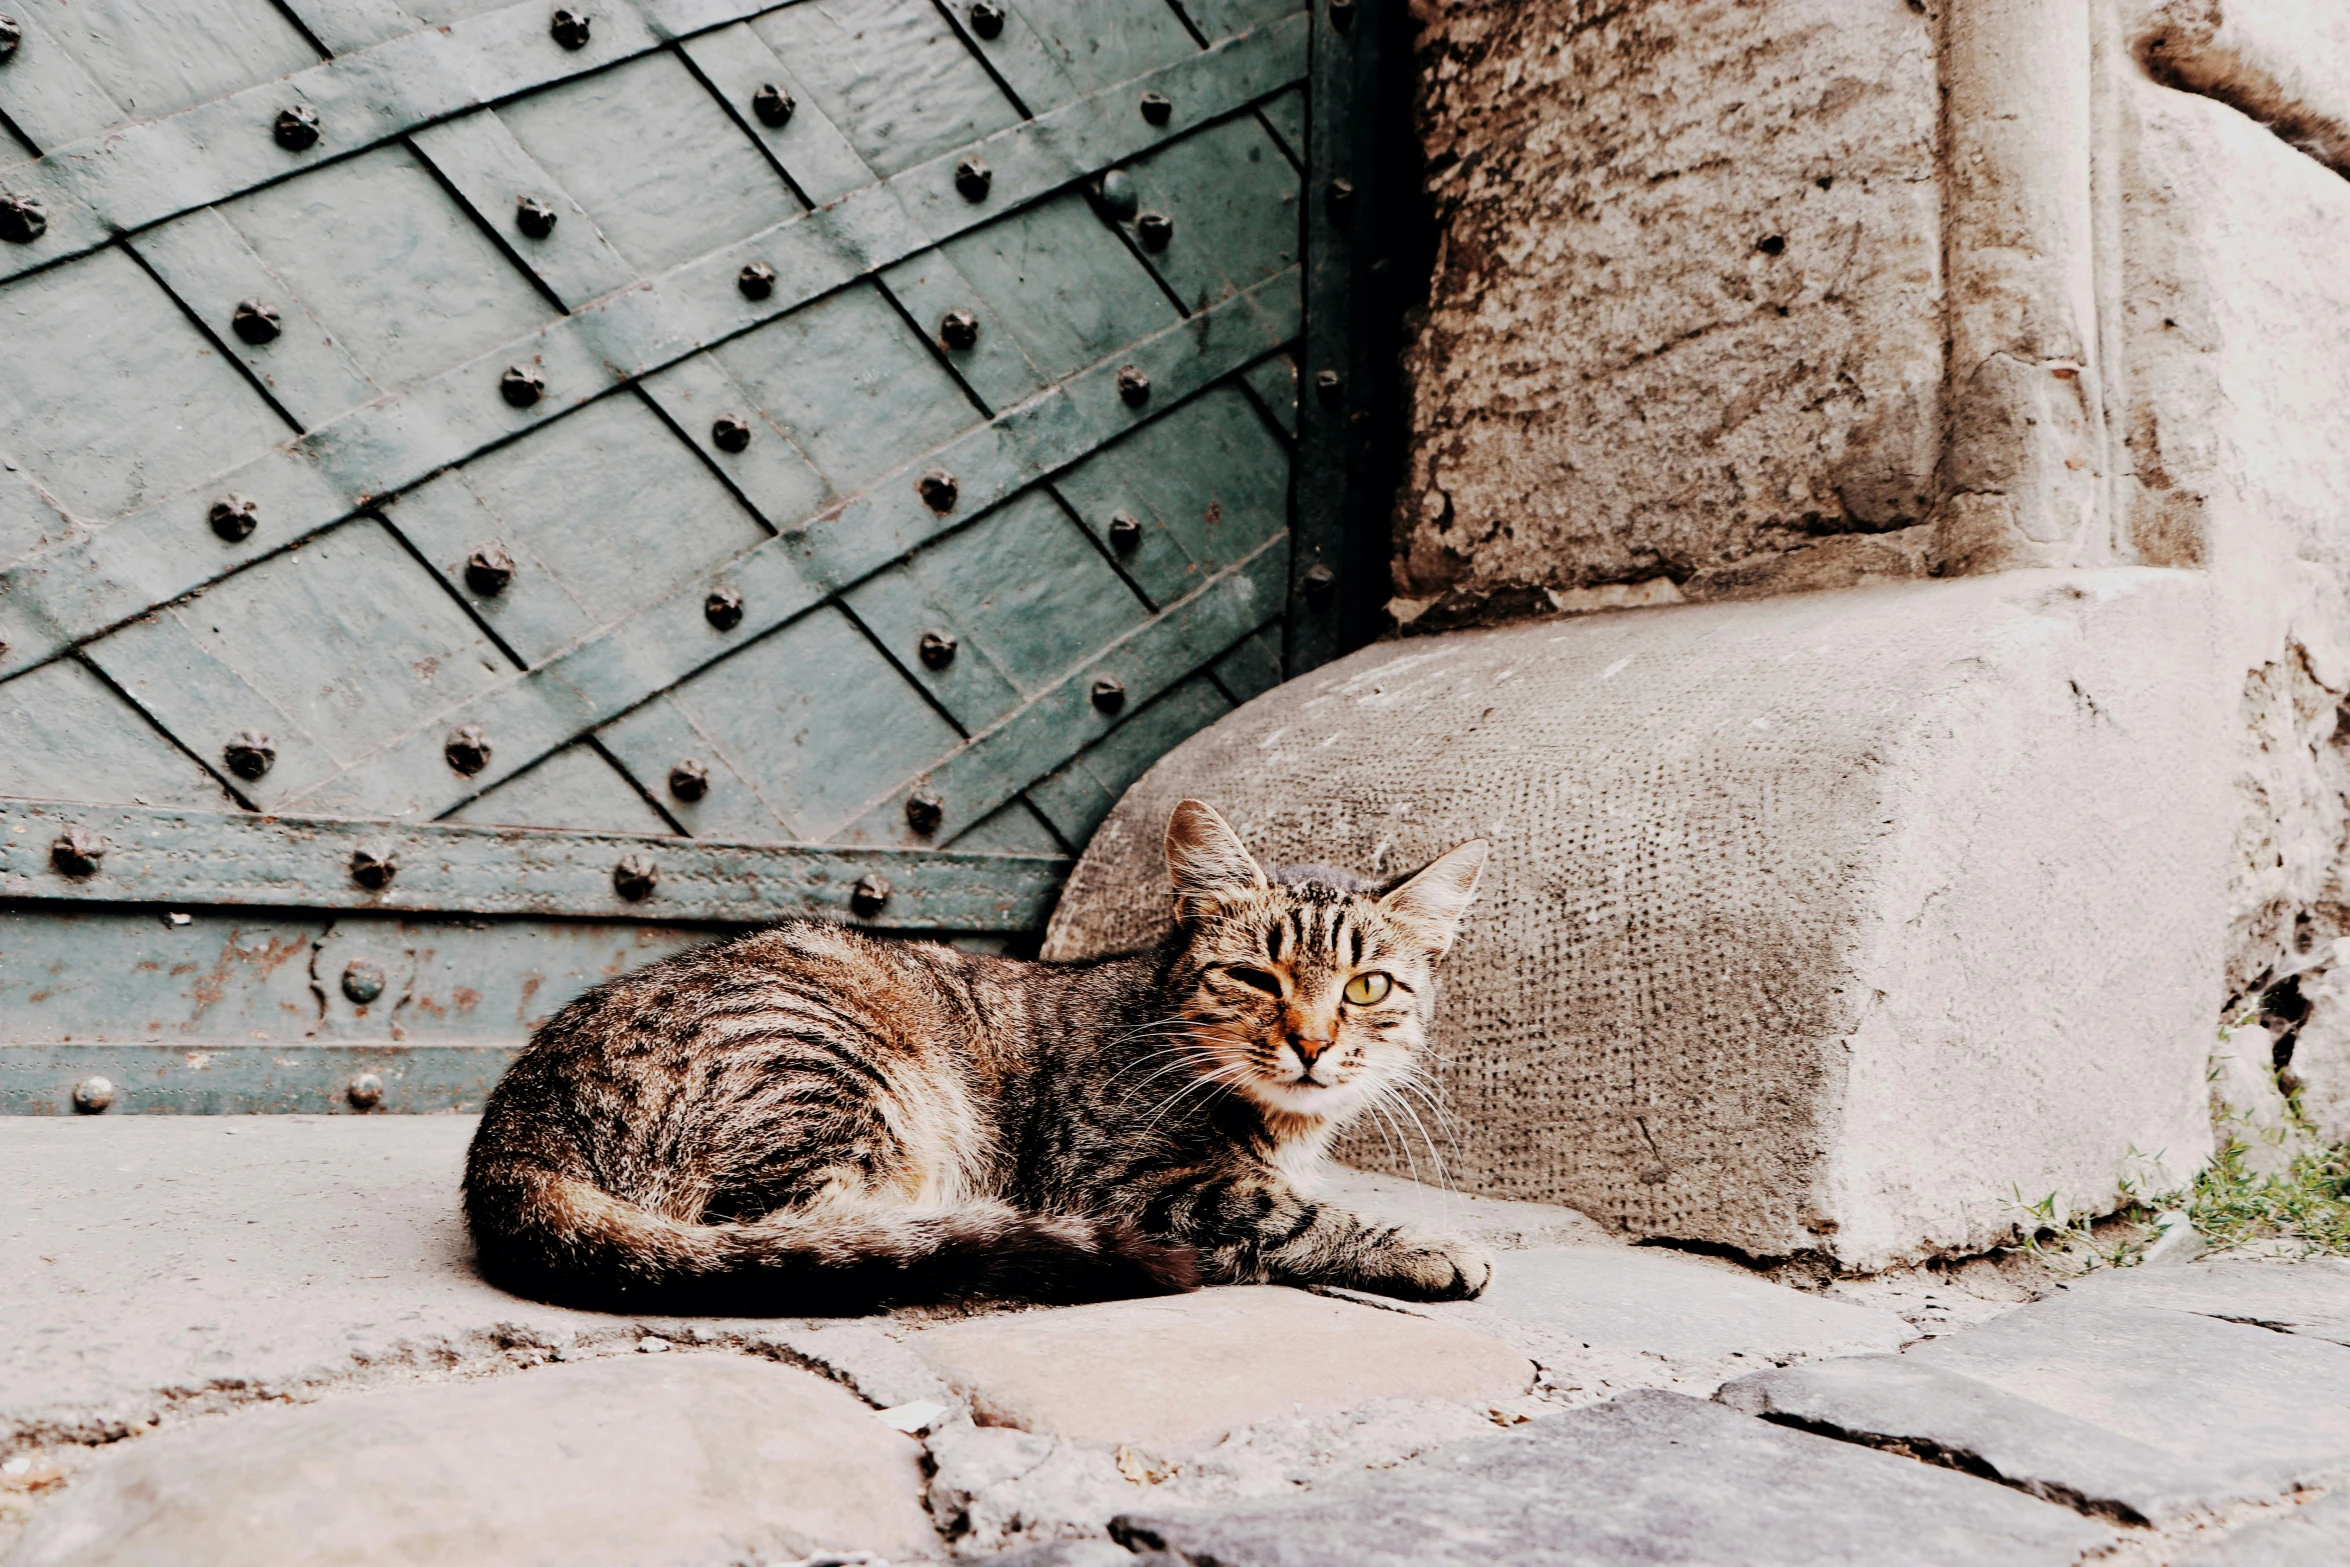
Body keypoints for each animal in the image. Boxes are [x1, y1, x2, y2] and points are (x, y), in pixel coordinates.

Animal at [458, 798, 1485, 1315]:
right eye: (1252, 976)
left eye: (1367, 987)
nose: (1312, 1041)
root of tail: (509, 1137)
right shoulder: (1129, 1181)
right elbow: (1290, 1212)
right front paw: (1427, 1244)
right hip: (844, 1085)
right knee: (824, 1235)